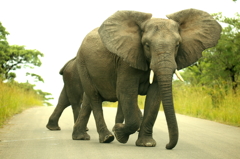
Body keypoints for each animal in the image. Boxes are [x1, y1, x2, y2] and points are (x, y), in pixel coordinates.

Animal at [72, 8, 222, 149]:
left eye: (177, 45)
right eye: (147, 45)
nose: (168, 146)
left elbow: (154, 96)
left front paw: (146, 143)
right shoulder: (125, 60)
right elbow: (126, 92)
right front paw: (119, 133)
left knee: (88, 99)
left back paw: (80, 136)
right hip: (82, 63)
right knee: (94, 97)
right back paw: (107, 138)